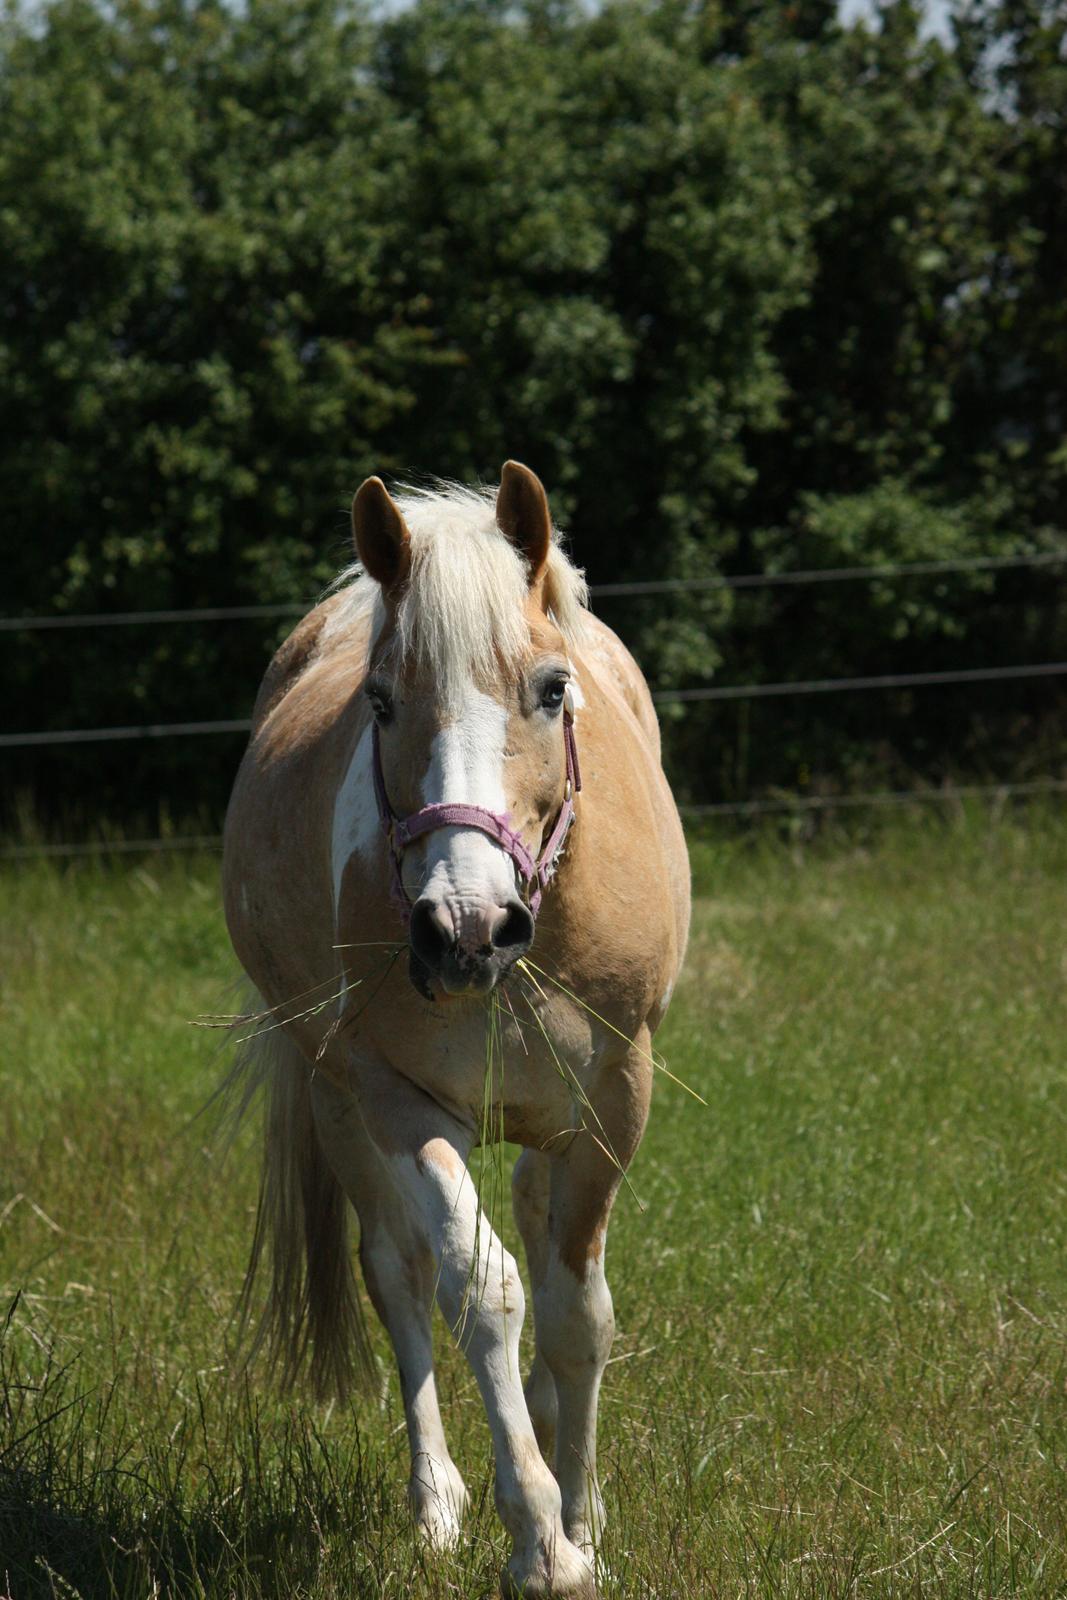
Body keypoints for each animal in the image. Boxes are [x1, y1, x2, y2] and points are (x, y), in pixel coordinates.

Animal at [223, 457, 694, 1593]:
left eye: (551, 689)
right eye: (381, 702)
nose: (463, 927)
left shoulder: (612, 1102)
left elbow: (578, 1312)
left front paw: (584, 1509)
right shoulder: (398, 1102)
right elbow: (480, 1292)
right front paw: (541, 1541)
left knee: (529, 1219)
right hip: (336, 1102)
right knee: (397, 1272)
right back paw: (435, 1501)